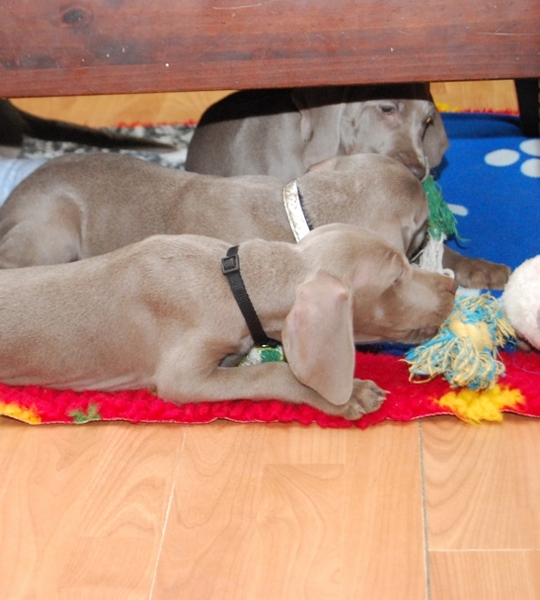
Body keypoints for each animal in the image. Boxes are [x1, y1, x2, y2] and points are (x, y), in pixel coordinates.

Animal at [0, 152, 510, 288]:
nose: (422, 172)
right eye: (421, 228)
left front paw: (484, 269)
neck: (299, 211)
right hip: (55, 227)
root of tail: (13, 198)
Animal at [0, 224, 458, 418]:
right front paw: (349, 394)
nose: (452, 287)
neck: (235, 281)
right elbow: (273, 373)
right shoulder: (182, 378)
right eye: (395, 279)